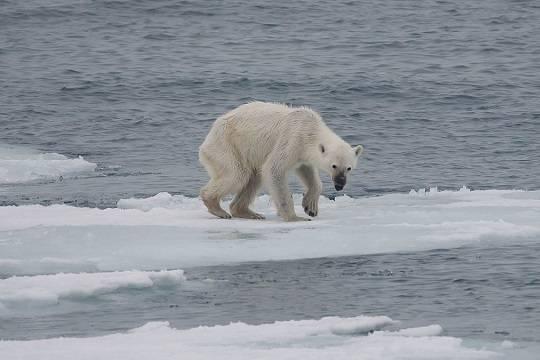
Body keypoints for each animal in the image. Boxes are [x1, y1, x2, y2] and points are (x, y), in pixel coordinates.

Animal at [198, 100, 362, 221]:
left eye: (349, 168)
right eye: (334, 166)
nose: (340, 184)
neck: (310, 129)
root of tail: (208, 137)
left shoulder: (302, 153)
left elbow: (307, 171)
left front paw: (310, 207)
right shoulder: (292, 139)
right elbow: (274, 169)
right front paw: (295, 217)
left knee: (254, 177)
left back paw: (249, 213)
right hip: (227, 146)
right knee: (237, 174)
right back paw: (217, 208)